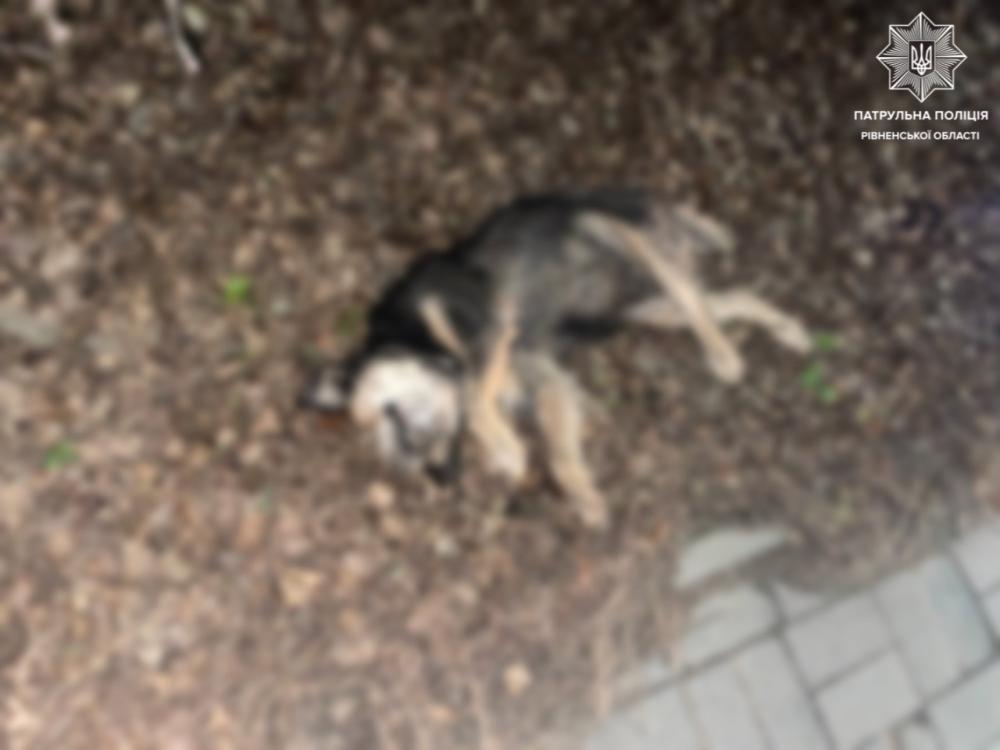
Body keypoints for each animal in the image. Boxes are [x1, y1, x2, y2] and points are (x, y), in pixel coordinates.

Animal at [299, 188, 811, 527]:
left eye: (393, 422)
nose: (445, 477)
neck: (414, 334)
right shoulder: (545, 381)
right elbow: (561, 454)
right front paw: (583, 495)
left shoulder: (489, 328)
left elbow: (473, 395)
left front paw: (505, 447)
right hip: (649, 309)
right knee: (724, 298)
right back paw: (789, 331)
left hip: (616, 234)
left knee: (688, 293)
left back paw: (724, 353)